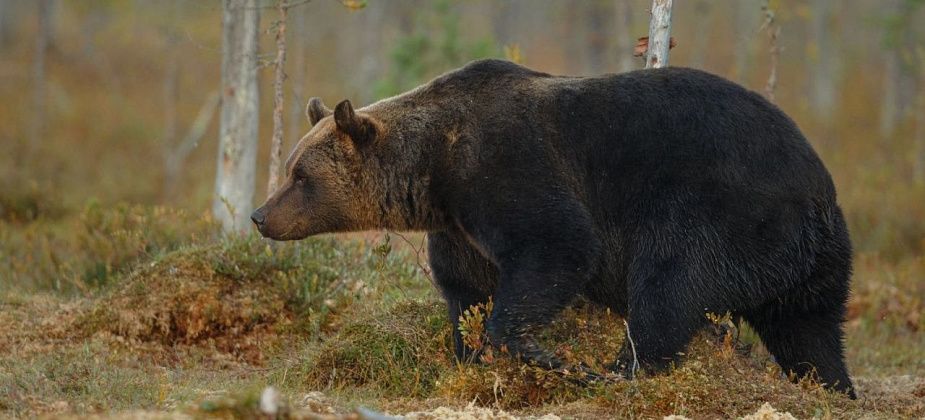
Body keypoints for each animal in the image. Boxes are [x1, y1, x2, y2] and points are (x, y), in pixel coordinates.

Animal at [251, 59, 856, 398]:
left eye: (300, 175)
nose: (260, 215)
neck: (434, 170)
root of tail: (818, 191)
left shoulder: (507, 168)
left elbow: (558, 246)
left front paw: (546, 356)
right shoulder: (458, 228)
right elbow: (465, 292)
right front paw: (469, 355)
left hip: (719, 211)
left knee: (668, 288)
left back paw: (617, 372)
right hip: (809, 261)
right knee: (810, 330)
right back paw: (832, 389)